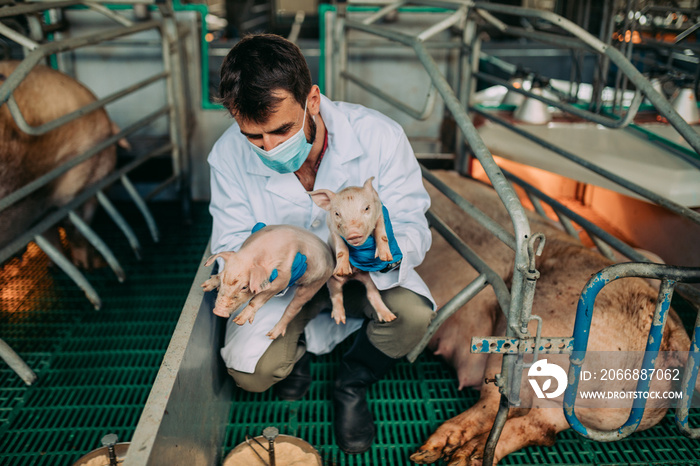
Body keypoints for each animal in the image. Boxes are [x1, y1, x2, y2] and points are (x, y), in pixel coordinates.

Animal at [412, 171, 692, 466]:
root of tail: (673, 336)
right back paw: (463, 456)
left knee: (496, 404)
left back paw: (438, 451)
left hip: (523, 342)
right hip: (581, 410)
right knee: (539, 427)